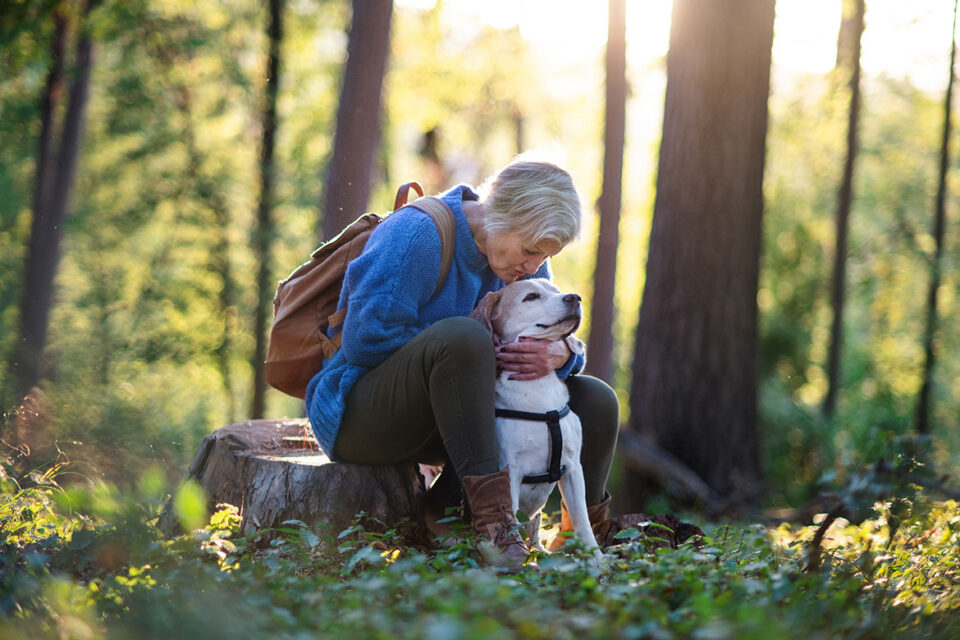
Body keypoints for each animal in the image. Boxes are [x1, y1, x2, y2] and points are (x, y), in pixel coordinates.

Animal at [470, 278, 600, 556]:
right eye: (531, 297)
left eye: (556, 291)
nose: (575, 298)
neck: (538, 394)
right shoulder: (510, 470)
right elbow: (509, 519)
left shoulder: (573, 468)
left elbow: (583, 523)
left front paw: (597, 560)